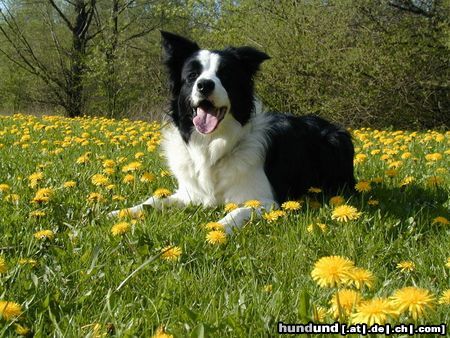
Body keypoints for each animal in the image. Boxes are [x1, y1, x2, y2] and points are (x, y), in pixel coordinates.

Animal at [109, 31, 356, 232]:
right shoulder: (189, 194)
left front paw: (217, 228)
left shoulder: (265, 200)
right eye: (192, 76)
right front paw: (119, 212)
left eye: (225, 75)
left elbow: (236, 212)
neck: (212, 145)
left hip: (336, 143)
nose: (204, 85)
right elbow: (153, 201)